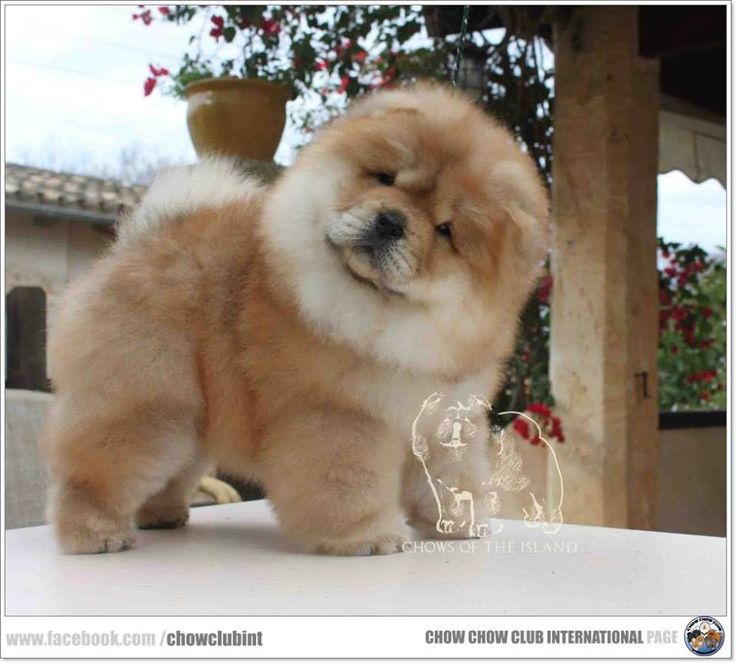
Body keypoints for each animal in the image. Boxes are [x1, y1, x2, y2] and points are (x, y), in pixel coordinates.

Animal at [40, 83, 548, 556]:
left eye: (446, 231)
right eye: (384, 177)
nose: (391, 220)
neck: (392, 316)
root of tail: (139, 242)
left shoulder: (446, 417)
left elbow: (448, 477)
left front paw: (461, 526)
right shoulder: (339, 414)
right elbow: (349, 482)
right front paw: (368, 538)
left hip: (189, 417)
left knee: (172, 470)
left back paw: (163, 515)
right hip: (150, 403)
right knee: (100, 469)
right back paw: (95, 534)